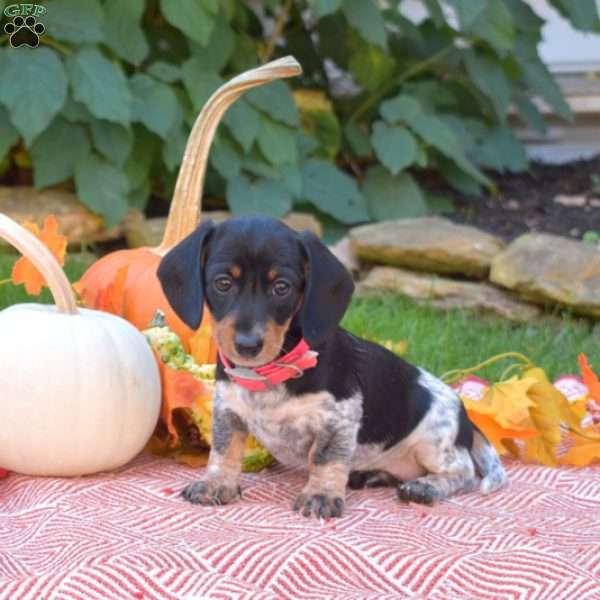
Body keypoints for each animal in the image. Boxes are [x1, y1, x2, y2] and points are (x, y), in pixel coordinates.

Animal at [156, 218, 506, 516]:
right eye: (223, 283)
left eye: (281, 287)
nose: (247, 345)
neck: (273, 370)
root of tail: (466, 415)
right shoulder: (228, 409)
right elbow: (224, 450)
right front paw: (216, 483)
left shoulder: (339, 417)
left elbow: (325, 458)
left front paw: (321, 495)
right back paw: (371, 474)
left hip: (434, 444)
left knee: (462, 472)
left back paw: (425, 486)